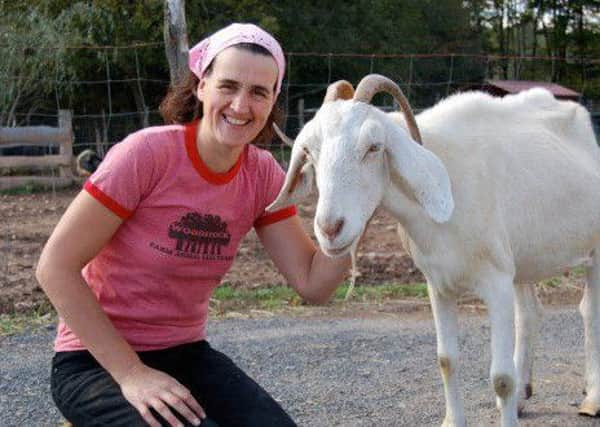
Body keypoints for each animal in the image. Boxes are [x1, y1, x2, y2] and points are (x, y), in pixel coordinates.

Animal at [268, 76, 600, 427]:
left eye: (374, 147)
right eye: (310, 152)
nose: (330, 228)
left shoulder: (496, 282)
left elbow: (501, 378)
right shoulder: (438, 284)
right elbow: (446, 360)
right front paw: (454, 420)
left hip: (593, 250)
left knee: (590, 312)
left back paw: (592, 399)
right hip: (523, 262)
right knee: (530, 315)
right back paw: (524, 396)